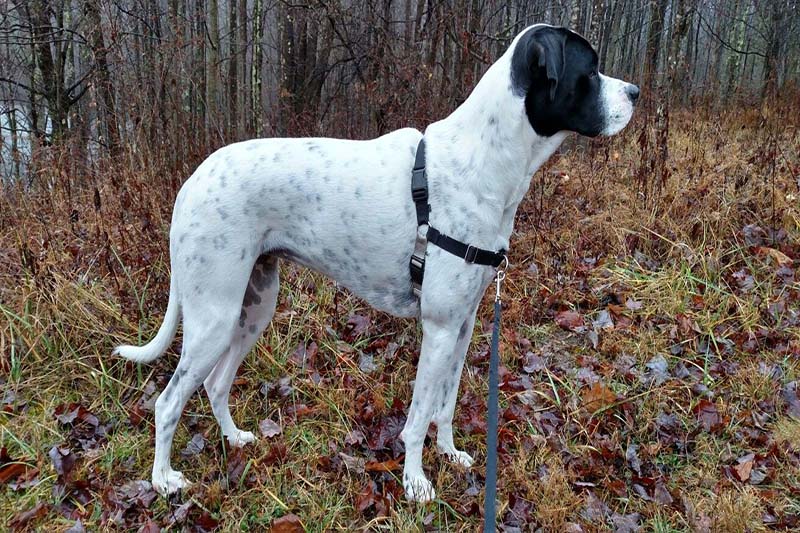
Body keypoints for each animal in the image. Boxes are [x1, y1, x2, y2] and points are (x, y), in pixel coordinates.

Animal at [114, 22, 636, 500]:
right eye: (590, 69)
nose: (635, 92)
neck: (484, 160)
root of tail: (190, 183)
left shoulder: (463, 326)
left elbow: (445, 406)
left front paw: (450, 454)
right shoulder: (439, 329)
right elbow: (419, 416)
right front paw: (416, 483)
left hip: (253, 308)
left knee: (216, 385)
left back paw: (236, 439)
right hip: (214, 319)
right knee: (168, 402)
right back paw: (163, 480)